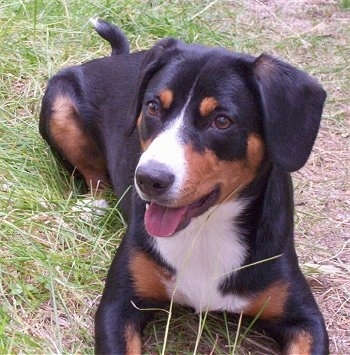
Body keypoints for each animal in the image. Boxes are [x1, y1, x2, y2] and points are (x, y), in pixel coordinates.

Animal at [39, 20, 330, 355]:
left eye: (221, 121)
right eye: (153, 106)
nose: (149, 178)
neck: (204, 230)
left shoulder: (304, 317)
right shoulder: (118, 306)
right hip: (58, 103)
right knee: (94, 174)